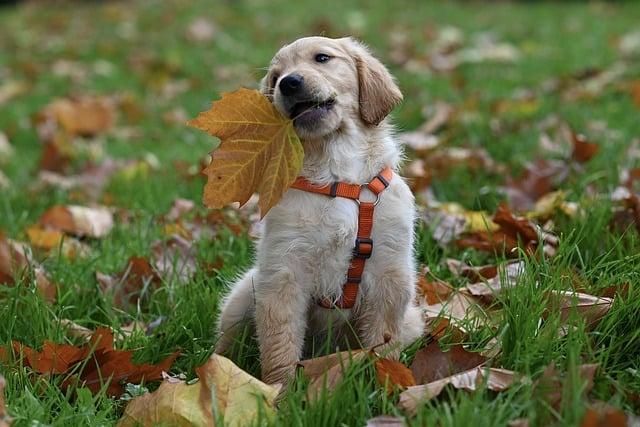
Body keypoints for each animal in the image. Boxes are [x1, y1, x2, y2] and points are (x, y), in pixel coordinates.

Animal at [216, 35, 424, 386]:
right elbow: (280, 344)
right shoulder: (284, 274)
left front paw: (384, 382)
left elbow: (382, 342)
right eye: (275, 78)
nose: (289, 83)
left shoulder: (391, 275)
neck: (337, 176)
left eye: (322, 58)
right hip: (244, 294)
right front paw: (278, 391)